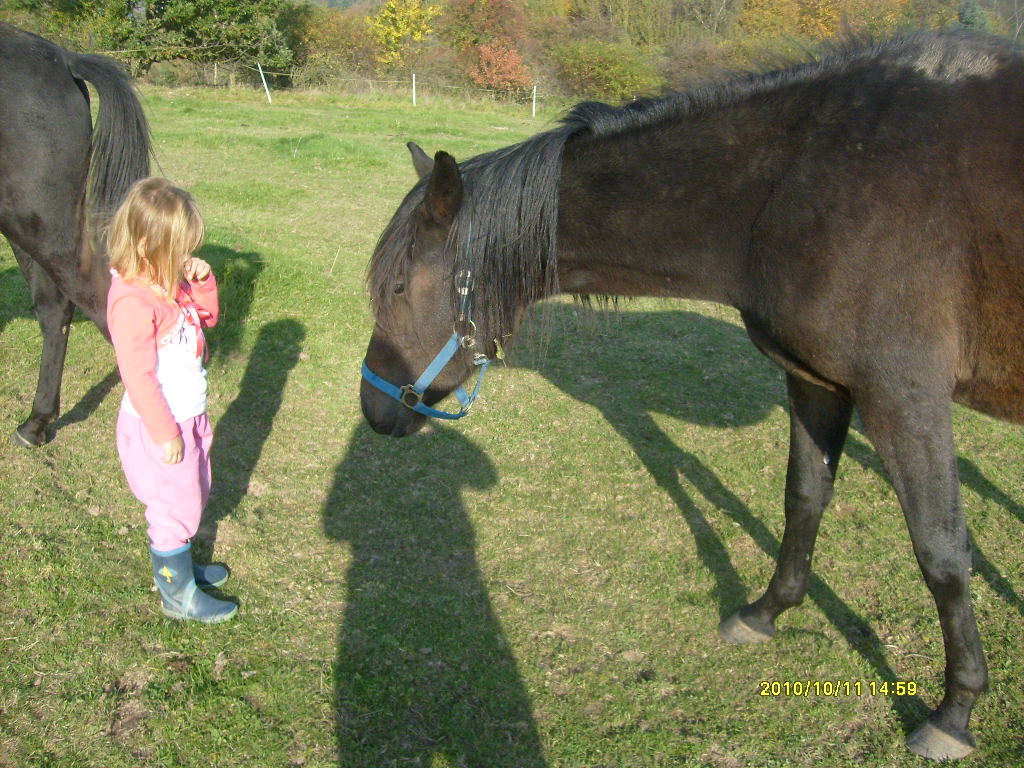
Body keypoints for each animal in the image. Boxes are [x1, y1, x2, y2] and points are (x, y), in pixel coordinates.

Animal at [362, 31, 1024, 765]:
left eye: (398, 288)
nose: (374, 408)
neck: (808, 179)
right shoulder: (816, 383)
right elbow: (804, 498)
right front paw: (765, 613)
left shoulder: (904, 400)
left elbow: (941, 551)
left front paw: (956, 709)